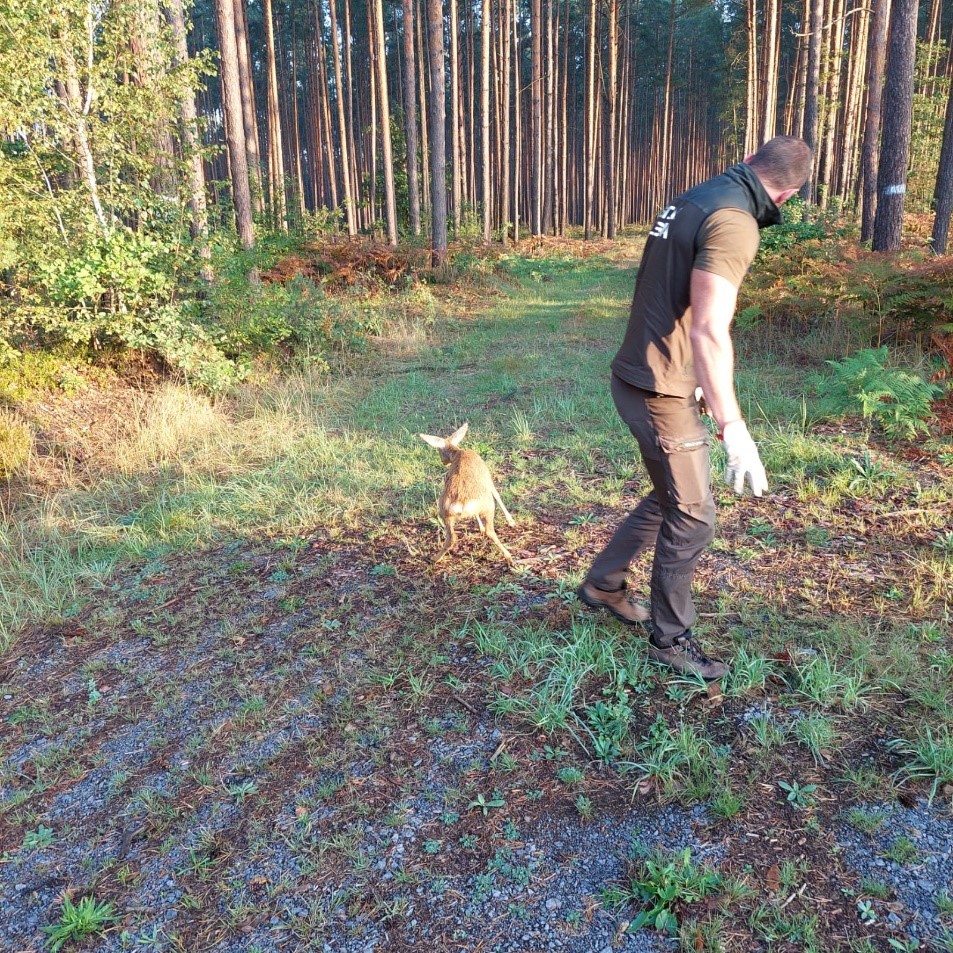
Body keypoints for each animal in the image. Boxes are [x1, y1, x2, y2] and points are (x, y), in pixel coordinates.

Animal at [420, 422, 516, 560]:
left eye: (439, 451)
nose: (443, 462)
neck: (458, 452)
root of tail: (460, 504)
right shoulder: (487, 478)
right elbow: (497, 495)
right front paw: (511, 521)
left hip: (444, 512)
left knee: (451, 538)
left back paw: (434, 559)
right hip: (488, 504)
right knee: (490, 531)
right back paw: (508, 555)